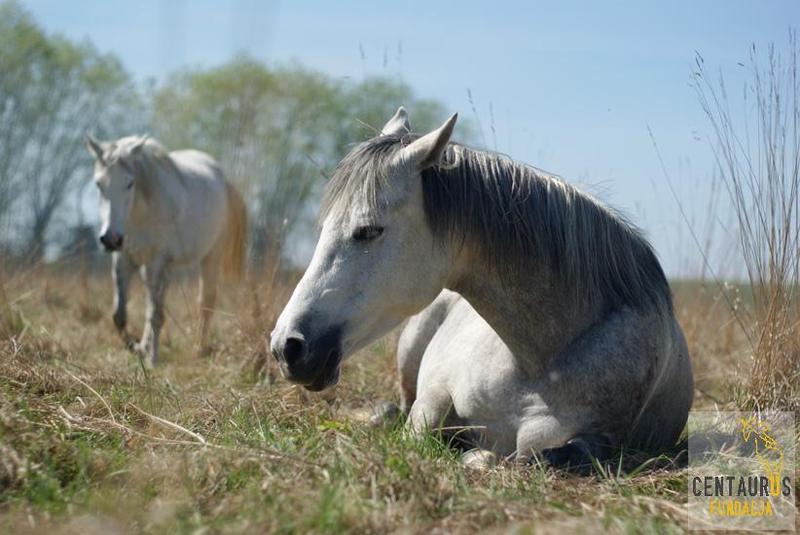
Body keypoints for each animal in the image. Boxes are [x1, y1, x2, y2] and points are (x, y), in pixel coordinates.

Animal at [84, 136, 247, 366]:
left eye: (129, 183)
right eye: (99, 184)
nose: (110, 239)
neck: (140, 215)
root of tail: (224, 180)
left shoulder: (157, 262)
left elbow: (155, 315)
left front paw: (151, 360)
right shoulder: (124, 261)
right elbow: (120, 315)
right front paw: (136, 347)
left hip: (210, 257)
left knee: (205, 301)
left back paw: (198, 348)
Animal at [270, 107, 692, 466]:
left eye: (369, 230)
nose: (286, 347)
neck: (542, 357)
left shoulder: (595, 440)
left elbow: (538, 457)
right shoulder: (434, 397)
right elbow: (423, 428)